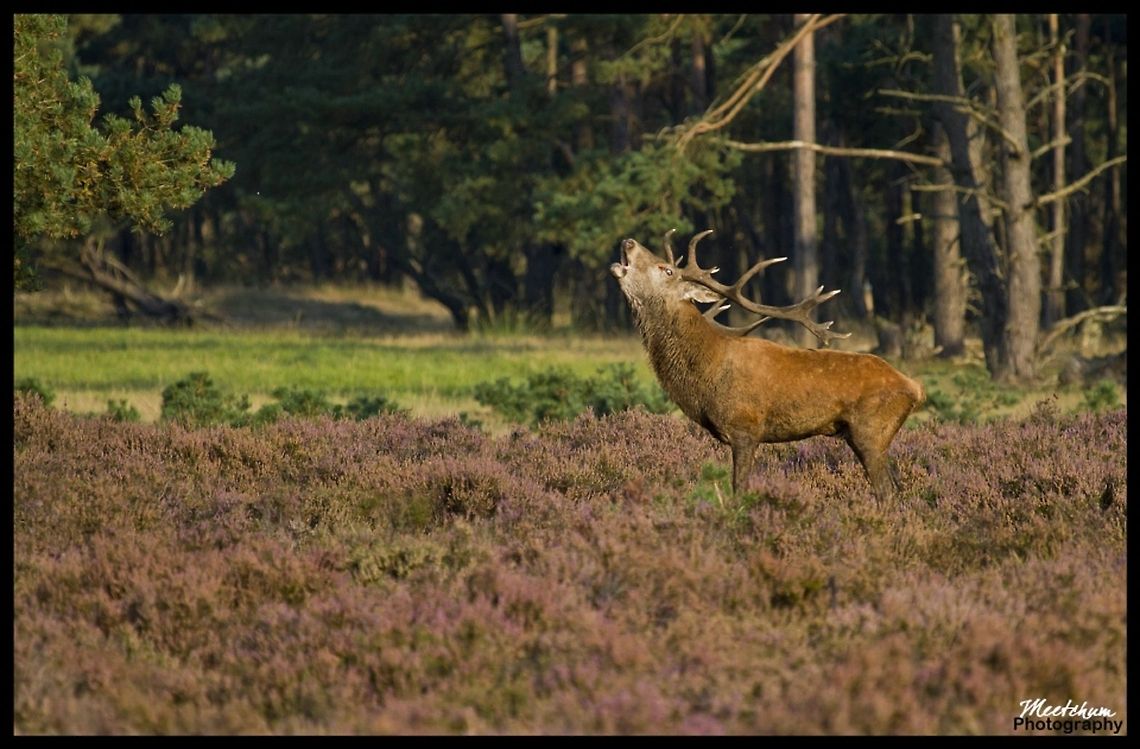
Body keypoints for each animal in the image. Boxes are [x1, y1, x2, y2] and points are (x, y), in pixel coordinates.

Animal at [610, 229, 925, 500]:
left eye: (667, 270)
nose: (628, 241)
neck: (706, 375)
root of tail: (915, 387)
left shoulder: (745, 428)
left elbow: (739, 487)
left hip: (871, 430)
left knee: (886, 491)